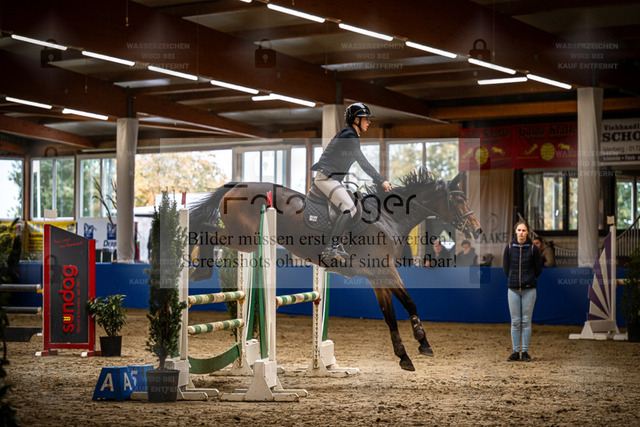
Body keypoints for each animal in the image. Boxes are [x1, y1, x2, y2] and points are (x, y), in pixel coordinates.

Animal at [188, 168, 483, 371]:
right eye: (459, 200)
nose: (477, 229)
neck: (389, 219)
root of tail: (237, 184)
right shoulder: (384, 272)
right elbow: (406, 303)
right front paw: (417, 344)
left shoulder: (377, 277)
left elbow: (394, 311)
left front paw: (411, 351)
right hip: (244, 238)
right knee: (207, 229)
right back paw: (199, 271)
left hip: (245, 241)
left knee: (208, 228)